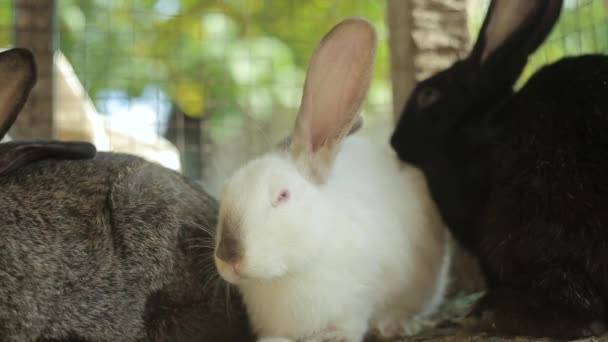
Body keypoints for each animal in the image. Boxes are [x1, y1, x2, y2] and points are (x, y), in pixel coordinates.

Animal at [214, 16, 452, 342]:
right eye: (225, 191)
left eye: (283, 196)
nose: (228, 255)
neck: (289, 273)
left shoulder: (360, 297)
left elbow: (350, 324)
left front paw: (335, 335)